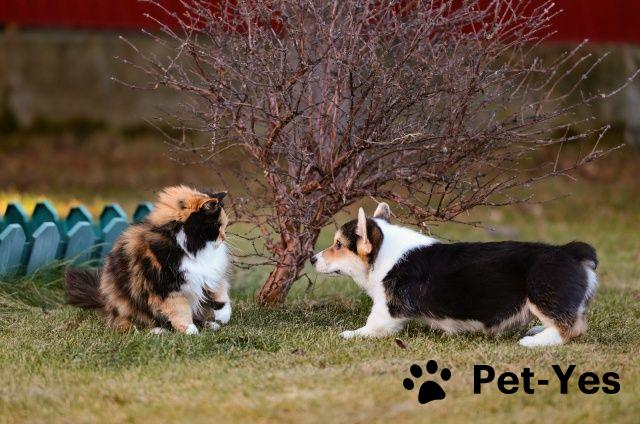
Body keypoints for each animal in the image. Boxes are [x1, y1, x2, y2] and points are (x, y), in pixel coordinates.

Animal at [64, 185, 231, 334]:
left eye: (223, 226)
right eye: (217, 226)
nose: (224, 238)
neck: (191, 247)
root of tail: (105, 302)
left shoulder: (211, 274)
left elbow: (221, 294)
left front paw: (223, 316)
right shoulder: (167, 286)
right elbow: (180, 310)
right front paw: (190, 330)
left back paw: (211, 325)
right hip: (128, 305)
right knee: (132, 324)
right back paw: (158, 331)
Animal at [311, 203, 598, 347]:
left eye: (338, 245)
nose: (312, 259)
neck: (384, 253)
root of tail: (571, 252)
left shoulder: (386, 311)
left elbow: (372, 325)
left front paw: (350, 334)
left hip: (541, 293)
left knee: (570, 329)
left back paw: (534, 342)